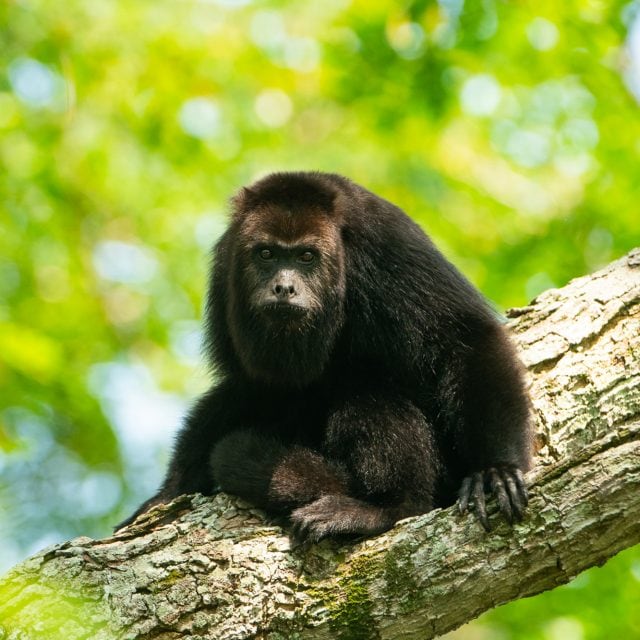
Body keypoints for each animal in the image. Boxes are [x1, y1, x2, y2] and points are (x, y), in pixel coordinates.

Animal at [118, 171, 532, 542]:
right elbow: (249, 385)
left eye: (306, 256)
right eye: (266, 253)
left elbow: (463, 338)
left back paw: (385, 508)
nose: (284, 287)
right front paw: (169, 492)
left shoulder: (387, 241)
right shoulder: (226, 266)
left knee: (368, 397)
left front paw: (496, 469)